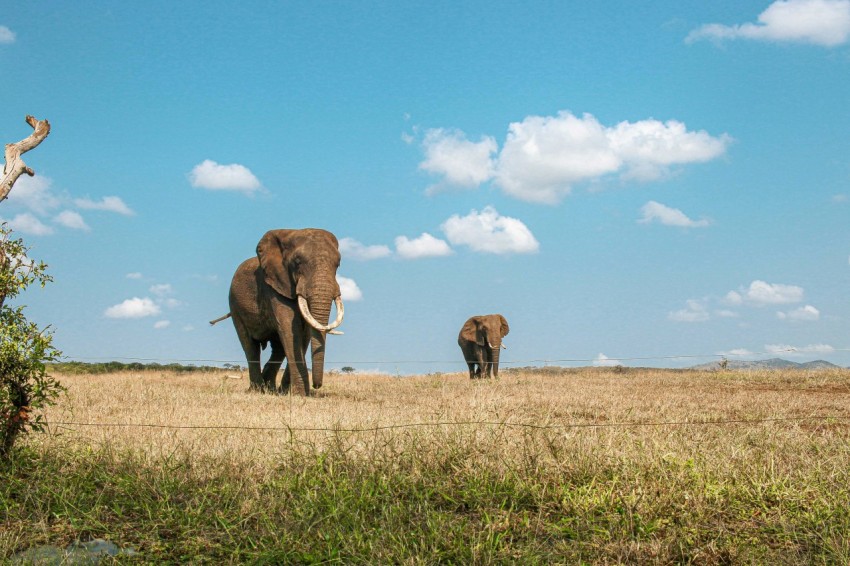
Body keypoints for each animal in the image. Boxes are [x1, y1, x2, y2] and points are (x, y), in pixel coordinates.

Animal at [210, 229, 342, 398]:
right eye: (297, 262)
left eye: (338, 264)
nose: (317, 385)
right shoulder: (273, 286)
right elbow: (290, 331)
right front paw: (299, 394)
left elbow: (304, 333)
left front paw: (291, 393)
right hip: (235, 305)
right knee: (250, 347)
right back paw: (258, 390)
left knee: (278, 348)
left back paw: (271, 388)